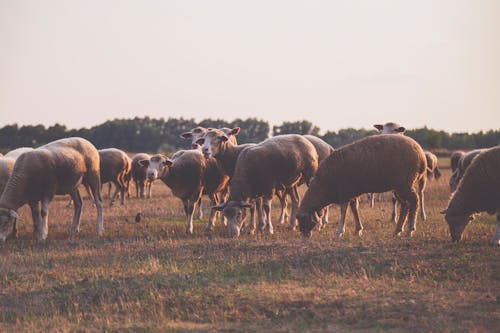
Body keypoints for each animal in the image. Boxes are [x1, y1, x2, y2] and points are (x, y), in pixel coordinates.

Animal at [296, 135, 426, 239]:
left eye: (303, 220)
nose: (304, 236)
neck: (323, 185)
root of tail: (421, 155)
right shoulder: (351, 194)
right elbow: (355, 209)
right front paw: (358, 230)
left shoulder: (344, 192)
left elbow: (343, 211)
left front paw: (339, 232)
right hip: (400, 186)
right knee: (405, 205)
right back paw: (397, 230)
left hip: (405, 183)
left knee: (414, 201)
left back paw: (410, 229)